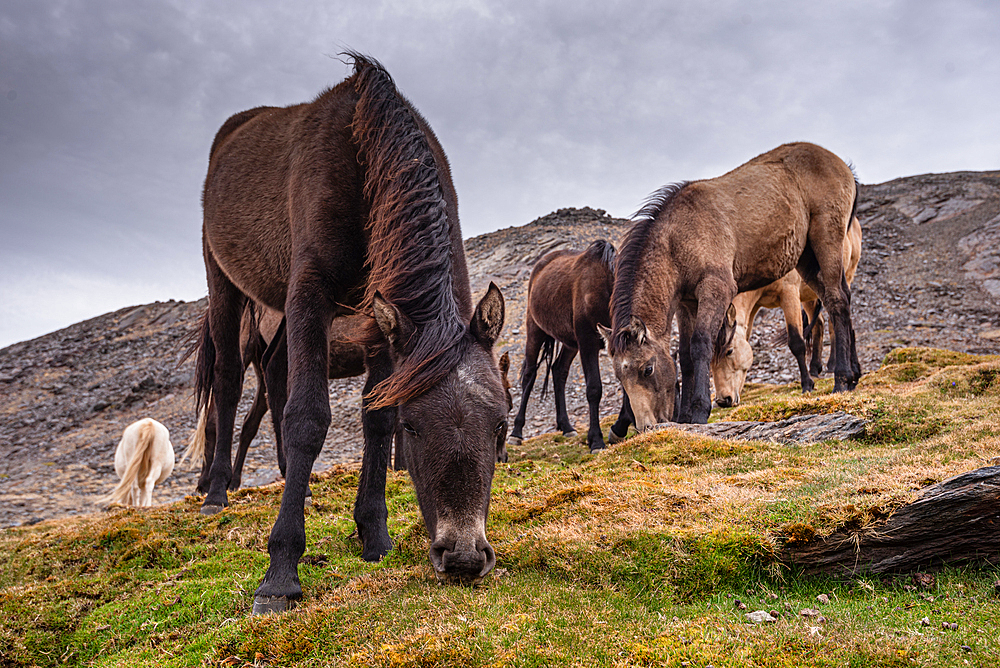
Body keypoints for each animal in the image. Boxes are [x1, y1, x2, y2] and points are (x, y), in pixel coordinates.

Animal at [195, 54, 508, 612]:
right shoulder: (310, 293)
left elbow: (374, 419)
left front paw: (375, 536)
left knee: (273, 369)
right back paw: (215, 493)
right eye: (414, 428)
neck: (368, 156)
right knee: (230, 382)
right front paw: (280, 574)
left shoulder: (381, 321)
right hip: (225, 283)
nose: (464, 558)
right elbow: (308, 417)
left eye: (500, 426)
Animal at [512, 237, 628, 452]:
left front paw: (619, 429)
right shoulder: (588, 342)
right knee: (529, 375)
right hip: (535, 330)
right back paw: (516, 432)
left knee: (559, 371)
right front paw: (596, 440)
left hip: (570, 343)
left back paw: (566, 427)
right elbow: (594, 389)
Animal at [604, 143, 864, 426]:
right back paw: (853, 376)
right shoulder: (687, 303)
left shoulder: (716, 290)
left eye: (647, 369)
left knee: (837, 300)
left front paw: (699, 411)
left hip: (826, 242)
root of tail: (842, 165)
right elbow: (684, 355)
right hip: (807, 260)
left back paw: (841, 380)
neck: (678, 239)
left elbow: (700, 344)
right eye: (619, 376)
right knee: (837, 301)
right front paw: (684, 417)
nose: (646, 426)